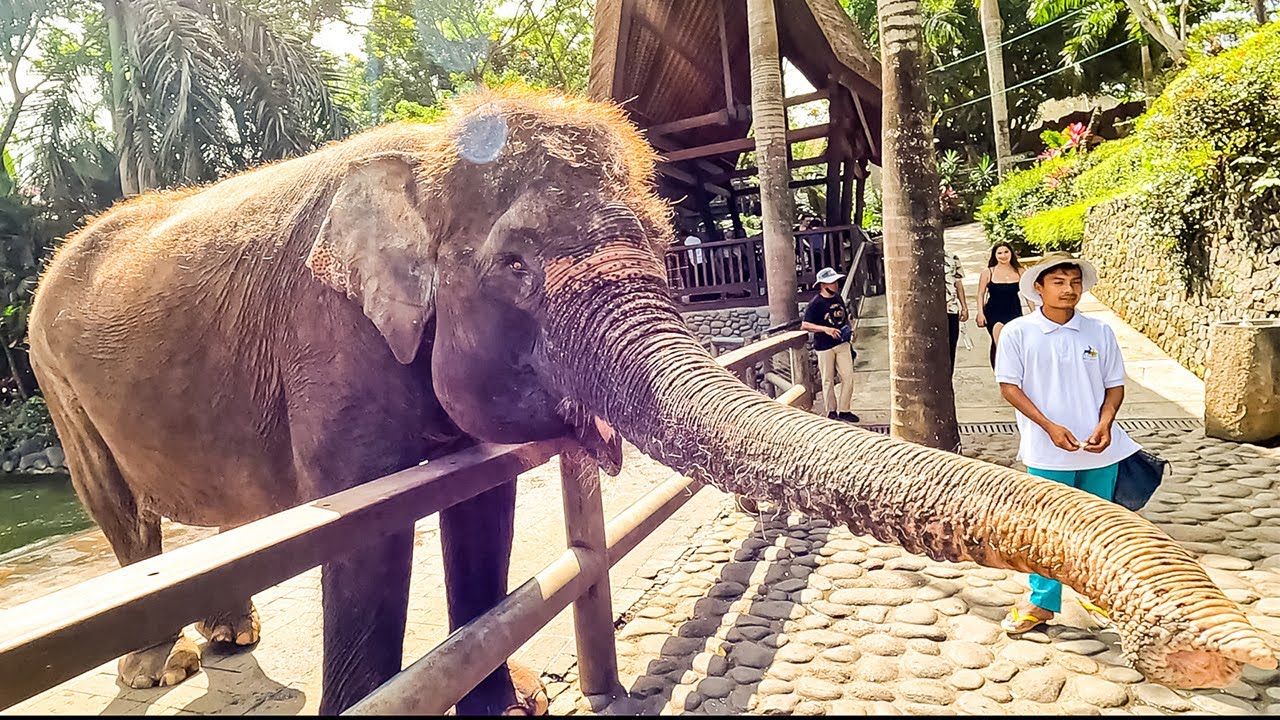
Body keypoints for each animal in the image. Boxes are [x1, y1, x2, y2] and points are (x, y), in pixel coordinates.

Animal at [27, 85, 1276, 714]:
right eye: (514, 264)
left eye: (670, 245)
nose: (1228, 651)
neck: (422, 152)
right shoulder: (329, 341)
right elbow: (365, 534)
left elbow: (480, 509)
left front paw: (502, 704)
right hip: (53, 377)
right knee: (120, 510)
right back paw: (155, 671)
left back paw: (222, 643)